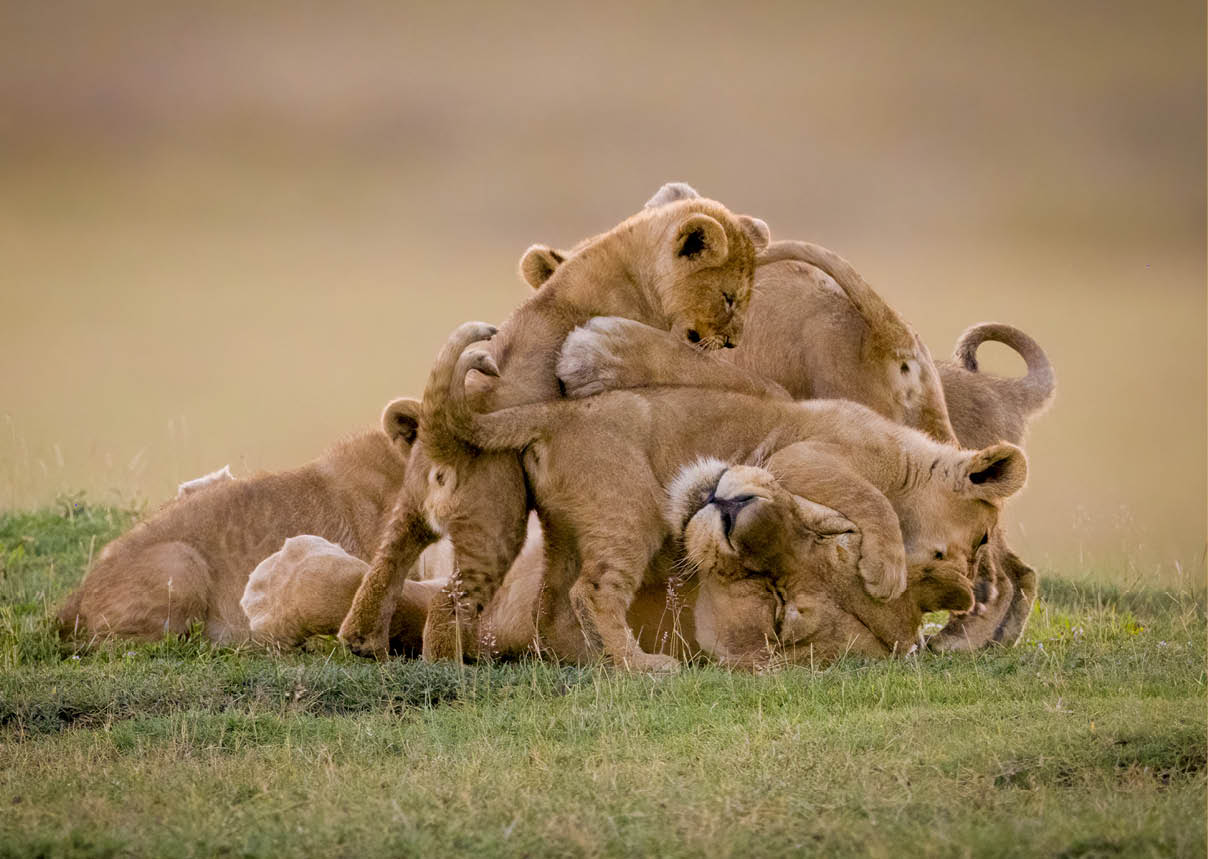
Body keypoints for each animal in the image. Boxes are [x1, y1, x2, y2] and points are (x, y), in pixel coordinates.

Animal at [338, 194, 772, 659]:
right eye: (729, 298)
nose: (732, 342)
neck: (630, 260)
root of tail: (442, 444)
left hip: (410, 510)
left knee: (385, 566)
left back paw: (362, 640)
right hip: (496, 522)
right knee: (449, 600)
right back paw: (448, 663)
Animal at [435, 331, 1028, 671]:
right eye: (980, 539)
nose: (967, 584)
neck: (906, 459)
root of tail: (556, 415)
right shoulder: (799, 459)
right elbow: (870, 498)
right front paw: (885, 570)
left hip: (565, 528)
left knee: (555, 602)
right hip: (629, 509)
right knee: (594, 590)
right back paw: (644, 666)